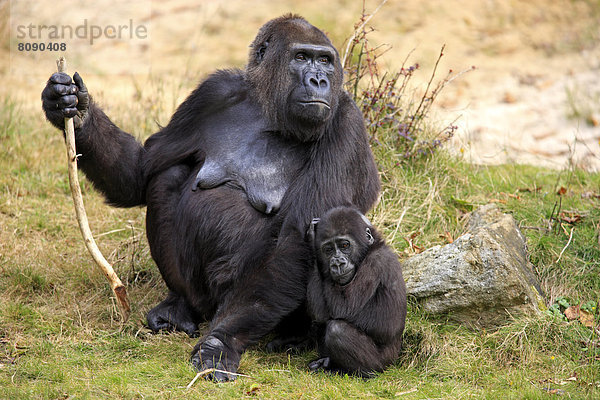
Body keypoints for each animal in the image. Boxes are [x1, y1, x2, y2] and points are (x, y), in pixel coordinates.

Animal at [41, 14, 380, 380]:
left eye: (326, 61)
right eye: (301, 58)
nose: (319, 80)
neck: (267, 110)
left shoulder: (346, 123)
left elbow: (297, 243)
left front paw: (219, 343)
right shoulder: (212, 92)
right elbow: (139, 172)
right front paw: (72, 108)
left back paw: (292, 337)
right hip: (203, 299)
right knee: (168, 176)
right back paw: (179, 306)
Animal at [304, 208, 408, 376]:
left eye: (345, 245)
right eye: (328, 249)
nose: (337, 263)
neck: (369, 250)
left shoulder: (375, 263)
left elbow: (344, 307)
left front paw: (312, 240)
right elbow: (320, 315)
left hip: (383, 363)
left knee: (337, 330)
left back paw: (364, 373)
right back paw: (328, 362)